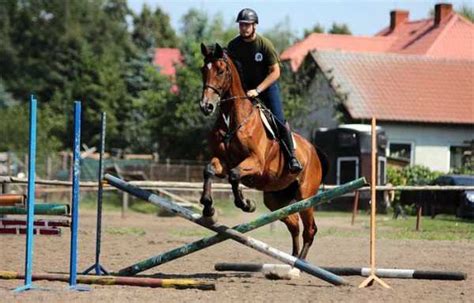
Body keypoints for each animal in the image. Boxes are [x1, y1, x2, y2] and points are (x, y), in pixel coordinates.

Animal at [198, 43, 328, 262]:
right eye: (202, 70)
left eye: (221, 71)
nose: (206, 106)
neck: (232, 120)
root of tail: (314, 150)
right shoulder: (223, 161)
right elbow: (209, 170)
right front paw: (208, 207)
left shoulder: (255, 163)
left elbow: (234, 175)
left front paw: (246, 203)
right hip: (275, 198)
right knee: (294, 223)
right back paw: (291, 260)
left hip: (305, 196)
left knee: (309, 230)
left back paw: (299, 263)